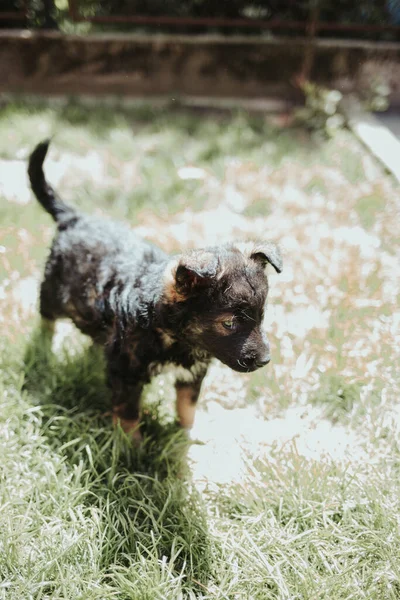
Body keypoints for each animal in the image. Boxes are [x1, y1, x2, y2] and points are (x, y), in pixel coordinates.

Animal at [27, 141, 282, 440]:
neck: (171, 332)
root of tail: (75, 218)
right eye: (229, 323)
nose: (265, 360)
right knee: (46, 321)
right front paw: (131, 444)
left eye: (262, 317)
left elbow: (187, 405)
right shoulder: (126, 371)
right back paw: (43, 349)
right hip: (52, 292)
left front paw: (185, 436)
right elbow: (129, 414)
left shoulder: (192, 373)